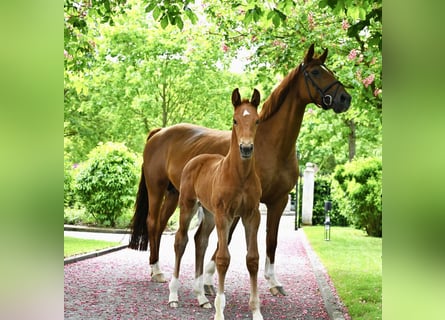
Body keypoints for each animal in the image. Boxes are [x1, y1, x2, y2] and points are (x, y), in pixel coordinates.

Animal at [128, 43, 350, 296]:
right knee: (152, 223)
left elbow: (271, 241)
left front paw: (273, 281)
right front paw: (208, 280)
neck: (270, 145)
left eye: (329, 70)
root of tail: (159, 133)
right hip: (156, 190)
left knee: (162, 226)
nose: (345, 98)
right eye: (315, 72)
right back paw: (156, 271)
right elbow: (226, 239)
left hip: (176, 195)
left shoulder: (278, 201)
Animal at [168, 88, 262, 320]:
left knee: (200, 241)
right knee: (181, 240)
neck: (240, 176)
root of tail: (196, 159)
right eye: (235, 120)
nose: (246, 148)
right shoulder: (224, 215)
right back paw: (173, 296)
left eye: (257, 120)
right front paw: (220, 311)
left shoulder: (252, 215)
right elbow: (222, 259)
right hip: (188, 205)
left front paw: (256, 311)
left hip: (209, 214)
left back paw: (201, 298)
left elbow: (253, 259)